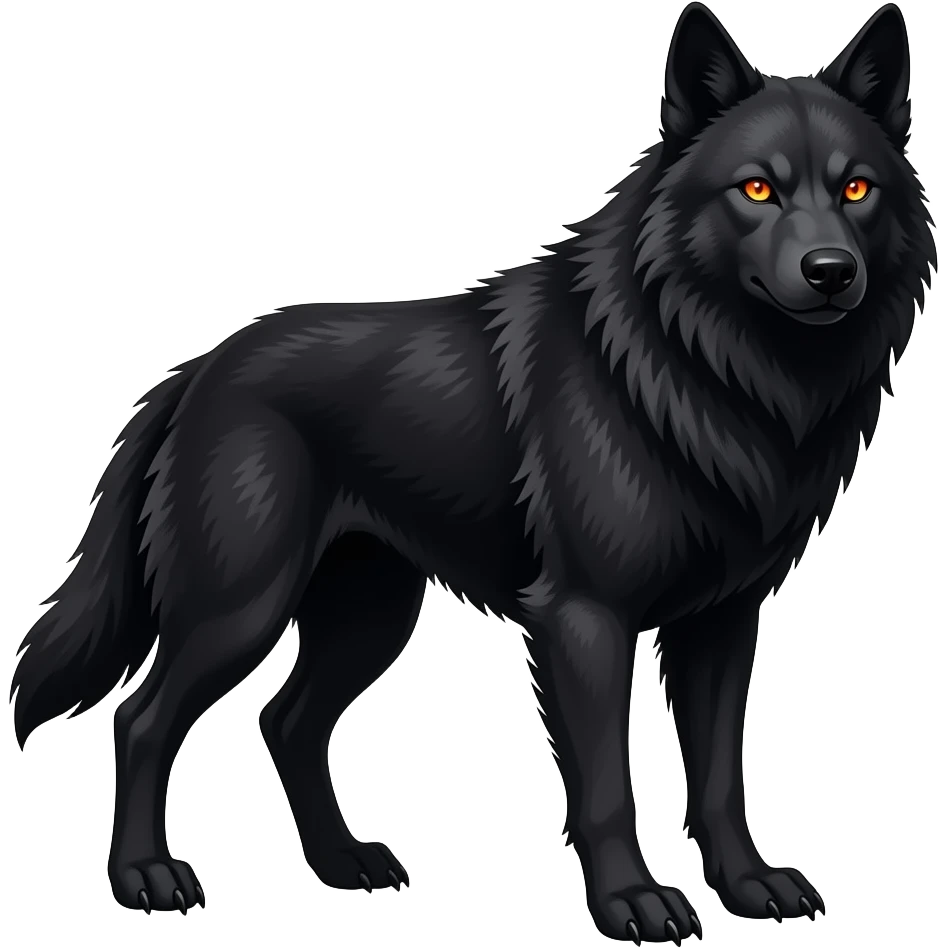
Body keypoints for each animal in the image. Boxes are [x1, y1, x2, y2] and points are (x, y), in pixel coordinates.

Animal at [10, 2, 937, 942]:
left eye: (856, 190)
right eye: (756, 190)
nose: (832, 273)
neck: (709, 371)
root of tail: (197, 371)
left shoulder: (722, 623)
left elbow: (717, 780)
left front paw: (748, 888)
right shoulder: (585, 623)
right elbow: (606, 785)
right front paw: (630, 902)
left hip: (370, 615)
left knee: (287, 722)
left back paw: (343, 865)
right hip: (239, 609)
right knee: (142, 720)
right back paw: (145, 878)